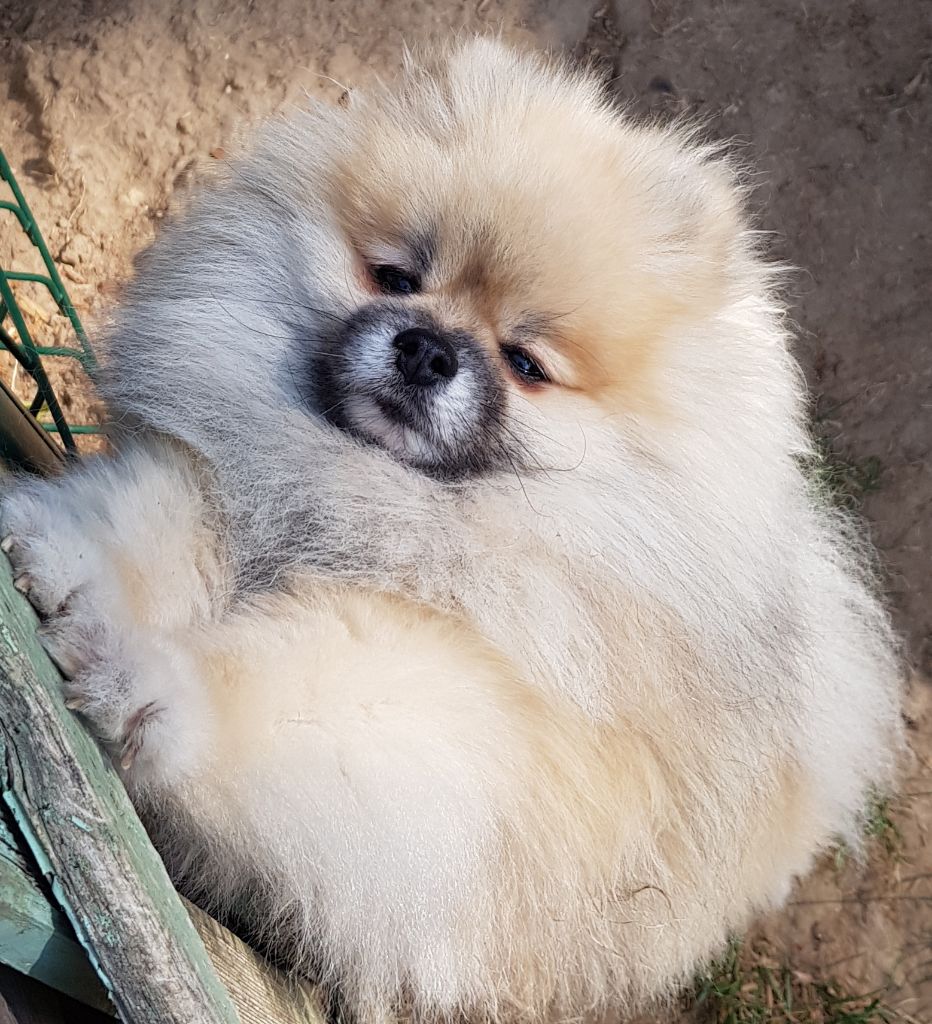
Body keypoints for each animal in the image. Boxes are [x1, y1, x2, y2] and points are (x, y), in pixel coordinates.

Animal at [1, 37, 905, 1024]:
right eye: (397, 277)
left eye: (526, 363)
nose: (428, 349)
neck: (382, 495)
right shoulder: (228, 485)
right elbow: (144, 519)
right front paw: (56, 549)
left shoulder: (464, 712)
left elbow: (296, 693)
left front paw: (163, 692)